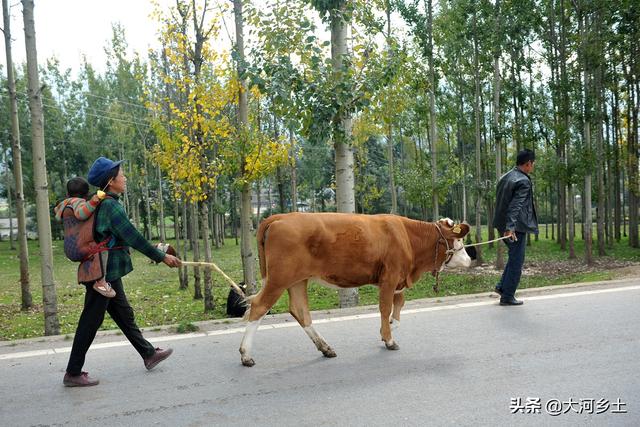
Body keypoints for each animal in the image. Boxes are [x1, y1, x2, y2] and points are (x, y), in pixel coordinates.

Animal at [240, 214, 470, 368]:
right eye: (459, 240)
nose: (469, 260)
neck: (408, 236)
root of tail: (281, 216)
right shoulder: (390, 277)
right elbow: (386, 308)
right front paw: (389, 339)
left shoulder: (398, 280)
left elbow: (398, 304)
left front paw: (390, 327)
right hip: (279, 279)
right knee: (259, 306)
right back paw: (245, 355)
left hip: (297, 280)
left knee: (300, 311)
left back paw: (325, 348)